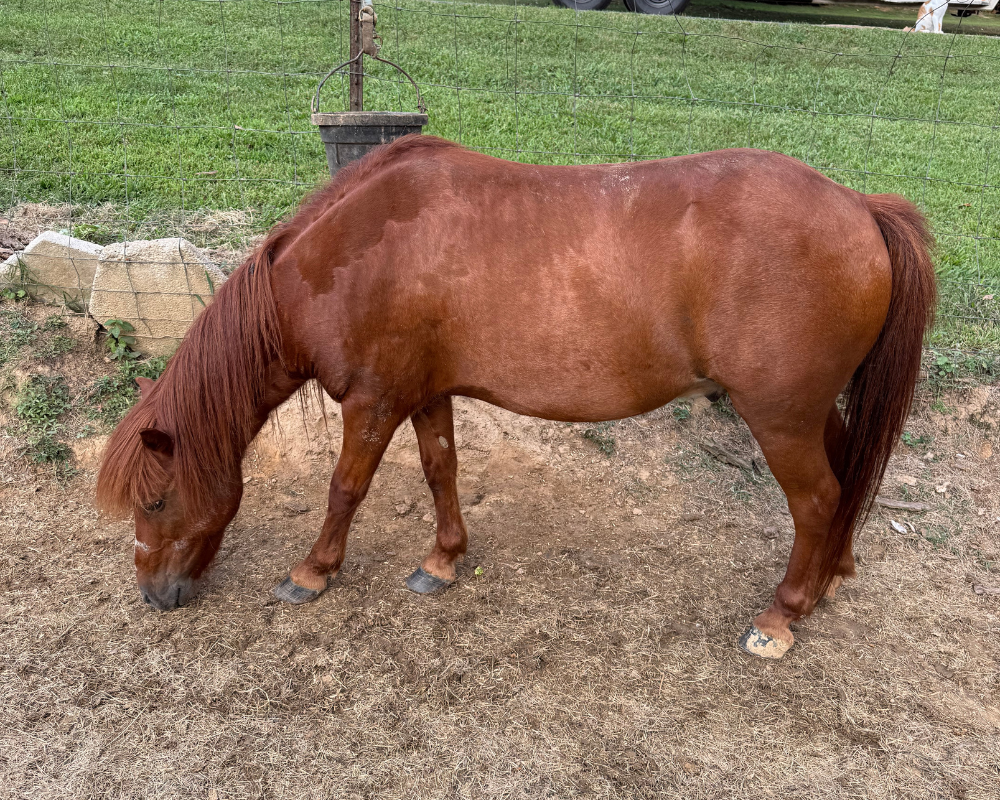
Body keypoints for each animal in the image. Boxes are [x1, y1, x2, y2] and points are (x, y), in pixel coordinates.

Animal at [96, 135, 936, 659]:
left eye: (159, 500)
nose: (154, 596)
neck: (353, 254)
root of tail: (860, 207)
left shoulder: (372, 402)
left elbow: (345, 489)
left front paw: (313, 572)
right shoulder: (424, 393)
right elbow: (440, 470)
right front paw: (442, 560)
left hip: (779, 417)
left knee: (818, 501)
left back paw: (782, 614)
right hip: (810, 410)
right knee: (846, 483)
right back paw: (831, 579)